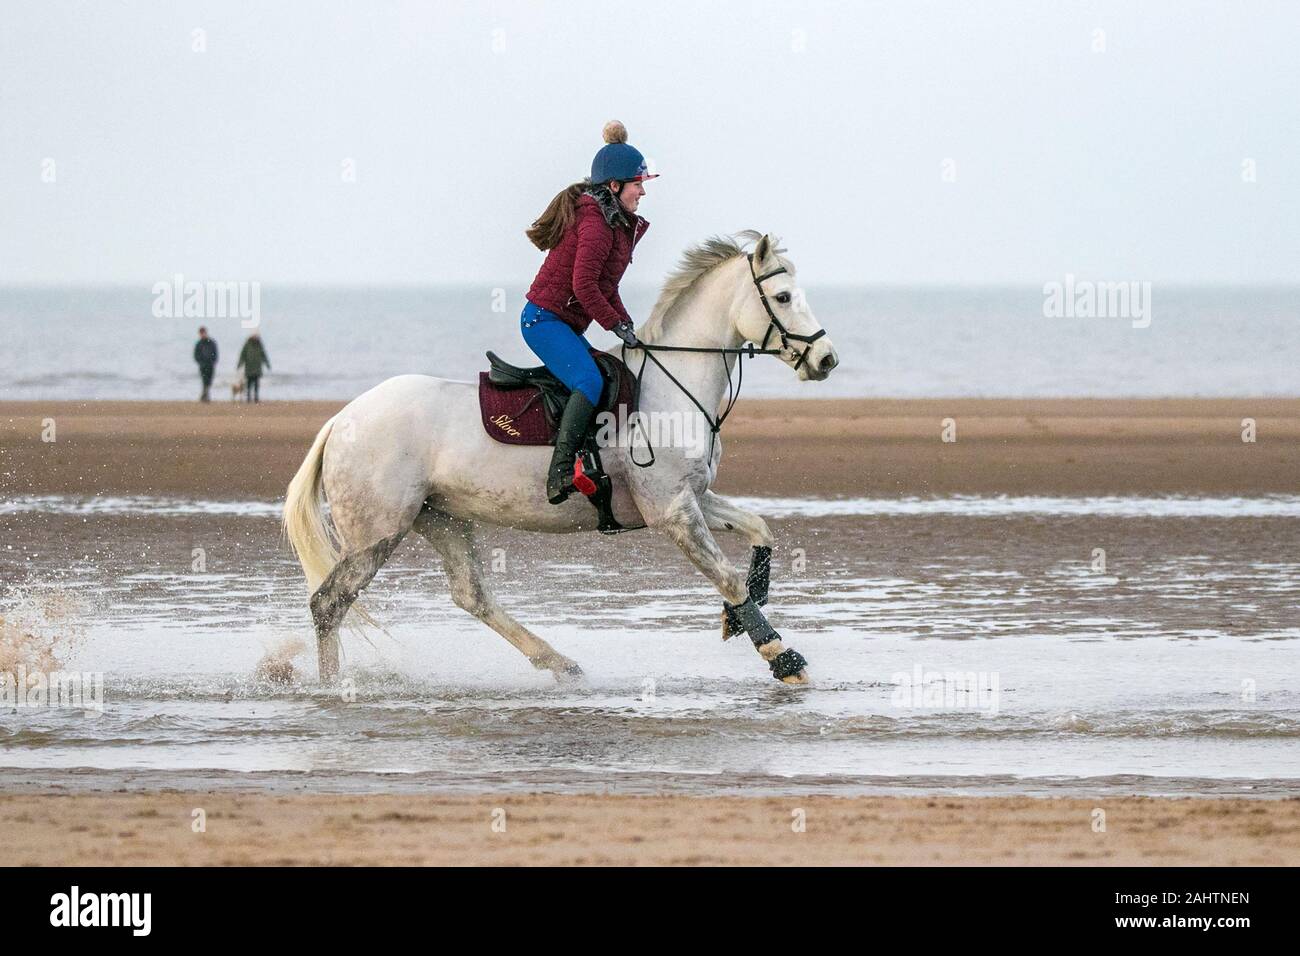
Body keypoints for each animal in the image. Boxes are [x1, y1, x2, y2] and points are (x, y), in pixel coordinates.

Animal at [279, 230, 837, 681]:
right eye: (783, 297)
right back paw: (331, 687)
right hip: (378, 532)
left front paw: (738, 616)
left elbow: (759, 531)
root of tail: (342, 419)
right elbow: (726, 575)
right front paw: (781, 657)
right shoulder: (672, 511)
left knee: (470, 594)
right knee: (329, 602)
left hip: (440, 518)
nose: (826, 359)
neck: (672, 384)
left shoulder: (693, 497)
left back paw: (558, 662)